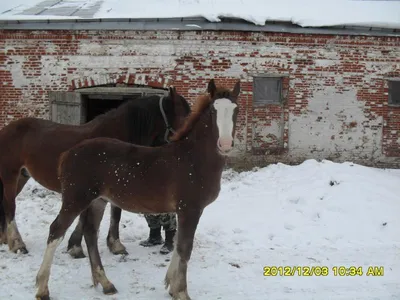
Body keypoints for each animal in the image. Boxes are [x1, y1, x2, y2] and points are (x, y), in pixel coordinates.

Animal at [0, 87, 190, 258]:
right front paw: (78, 247)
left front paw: (110, 245)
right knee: (10, 207)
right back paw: (17, 244)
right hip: (10, 176)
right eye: (187, 116)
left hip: (22, 177)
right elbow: (93, 216)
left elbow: (112, 215)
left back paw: (5, 239)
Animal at [35, 78, 241, 298]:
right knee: (56, 230)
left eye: (236, 110)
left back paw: (106, 283)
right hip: (76, 199)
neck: (193, 159)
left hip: (97, 200)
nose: (225, 144)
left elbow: (178, 245)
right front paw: (181, 291)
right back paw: (42, 288)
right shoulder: (190, 209)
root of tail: (67, 154)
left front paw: (170, 285)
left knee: (91, 233)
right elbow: (185, 248)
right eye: (213, 111)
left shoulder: (182, 210)